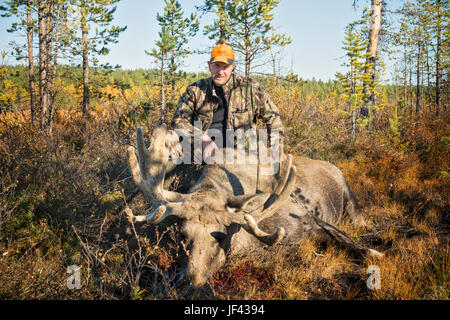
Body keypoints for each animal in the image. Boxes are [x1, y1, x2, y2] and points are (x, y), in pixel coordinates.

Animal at [124, 125, 384, 288]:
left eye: (220, 236)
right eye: (182, 235)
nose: (190, 280)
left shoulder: (312, 221)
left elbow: (352, 244)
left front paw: (376, 254)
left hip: (350, 198)